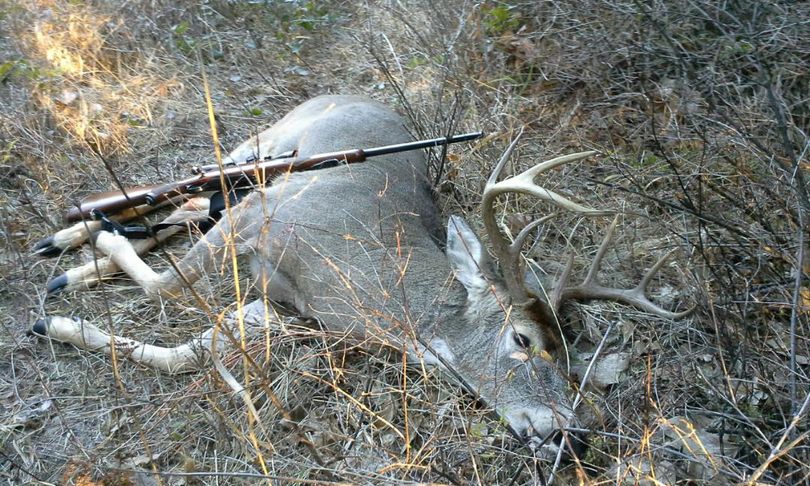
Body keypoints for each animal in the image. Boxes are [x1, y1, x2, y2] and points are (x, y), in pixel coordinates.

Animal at [33, 95, 688, 452]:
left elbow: (196, 345)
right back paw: (76, 236)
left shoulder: (294, 310)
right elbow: (166, 285)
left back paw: (73, 244)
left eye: (575, 362)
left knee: (186, 207)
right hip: (264, 143)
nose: (569, 434)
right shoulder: (262, 218)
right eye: (523, 339)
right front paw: (62, 302)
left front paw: (61, 319)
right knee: (187, 190)